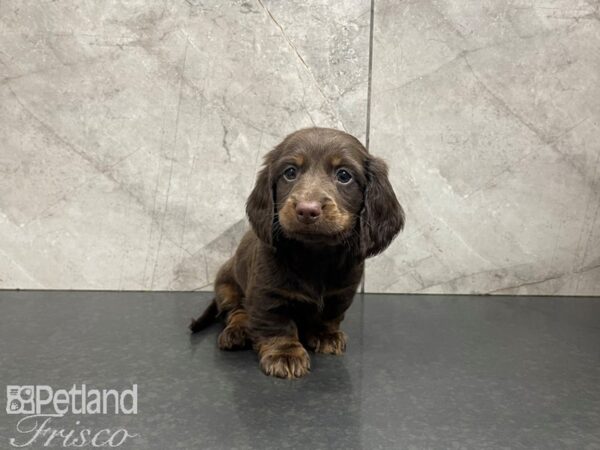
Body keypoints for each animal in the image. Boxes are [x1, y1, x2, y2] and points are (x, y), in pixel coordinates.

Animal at [190, 127, 406, 380]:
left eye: (344, 175)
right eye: (290, 172)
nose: (307, 210)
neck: (315, 255)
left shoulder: (341, 293)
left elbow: (330, 316)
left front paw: (325, 335)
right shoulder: (268, 294)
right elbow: (277, 325)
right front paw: (285, 354)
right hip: (226, 286)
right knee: (236, 311)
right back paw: (237, 331)